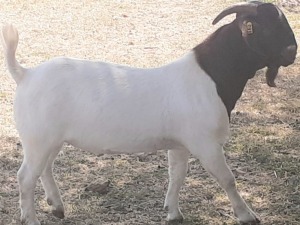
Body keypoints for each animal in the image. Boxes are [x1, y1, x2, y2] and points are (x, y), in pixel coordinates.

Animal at [0, 0, 296, 224]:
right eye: (270, 27)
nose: (292, 53)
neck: (210, 76)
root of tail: (25, 74)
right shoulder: (206, 143)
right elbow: (227, 179)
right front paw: (248, 215)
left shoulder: (179, 144)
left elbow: (177, 175)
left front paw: (173, 213)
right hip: (38, 138)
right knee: (25, 176)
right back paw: (32, 218)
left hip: (49, 139)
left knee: (45, 168)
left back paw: (57, 206)